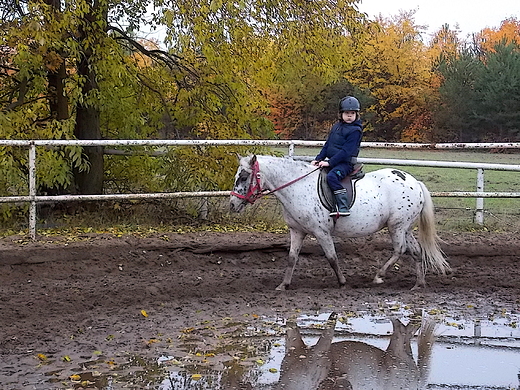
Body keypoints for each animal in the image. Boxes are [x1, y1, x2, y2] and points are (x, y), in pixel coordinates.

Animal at [230, 155, 448, 290]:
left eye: (244, 177)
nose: (232, 205)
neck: (298, 187)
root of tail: (414, 181)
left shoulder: (321, 232)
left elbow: (331, 257)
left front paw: (342, 282)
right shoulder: (297, 231)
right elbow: (292, 258)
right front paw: (283, 285)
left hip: (397, 226)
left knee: (399, 250)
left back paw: (378, 276)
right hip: (406, 228)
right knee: (416, 252)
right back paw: (418, 284)